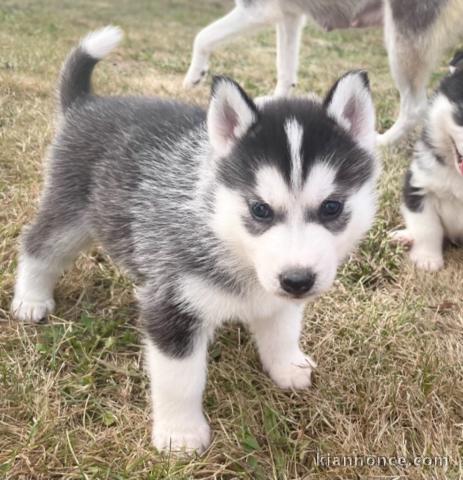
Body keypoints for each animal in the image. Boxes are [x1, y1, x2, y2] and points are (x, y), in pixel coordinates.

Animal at [11, 26, 380, 454]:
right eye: (260, 210)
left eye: (332, 207)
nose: (297, 281)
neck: (227, 238)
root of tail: (88, 102)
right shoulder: (172, 304)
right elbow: (180, 379)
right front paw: (180, 434)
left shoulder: (276, 293)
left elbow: (282, 329)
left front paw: (287, 365)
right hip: (70, 213)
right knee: (39, 244)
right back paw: (31, 298)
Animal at [184, 0, 463, 146]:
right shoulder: (289, 16)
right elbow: (285, 68)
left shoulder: (258, 10)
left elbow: (202, 37)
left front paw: (194, 75)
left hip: (402, 42)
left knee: (414, 107)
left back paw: (380, 141)